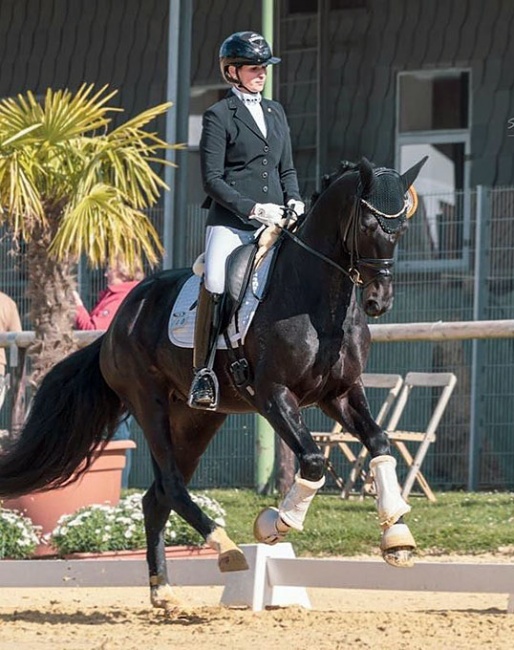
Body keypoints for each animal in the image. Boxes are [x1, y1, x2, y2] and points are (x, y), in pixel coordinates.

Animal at [0, 154, 424, 612]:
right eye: (366, 224)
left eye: (401, 228)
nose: (378, 301)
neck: (317, 301)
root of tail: (116, 324)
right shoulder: (274, 396)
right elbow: (312, 461)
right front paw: (273, 525)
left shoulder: (339, 393)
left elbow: (379, 443)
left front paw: (396, 536)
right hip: (149, 404)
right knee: (171, 485)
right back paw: (227, 548)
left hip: (196, 420)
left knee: (156, 497)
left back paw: (164, 590)